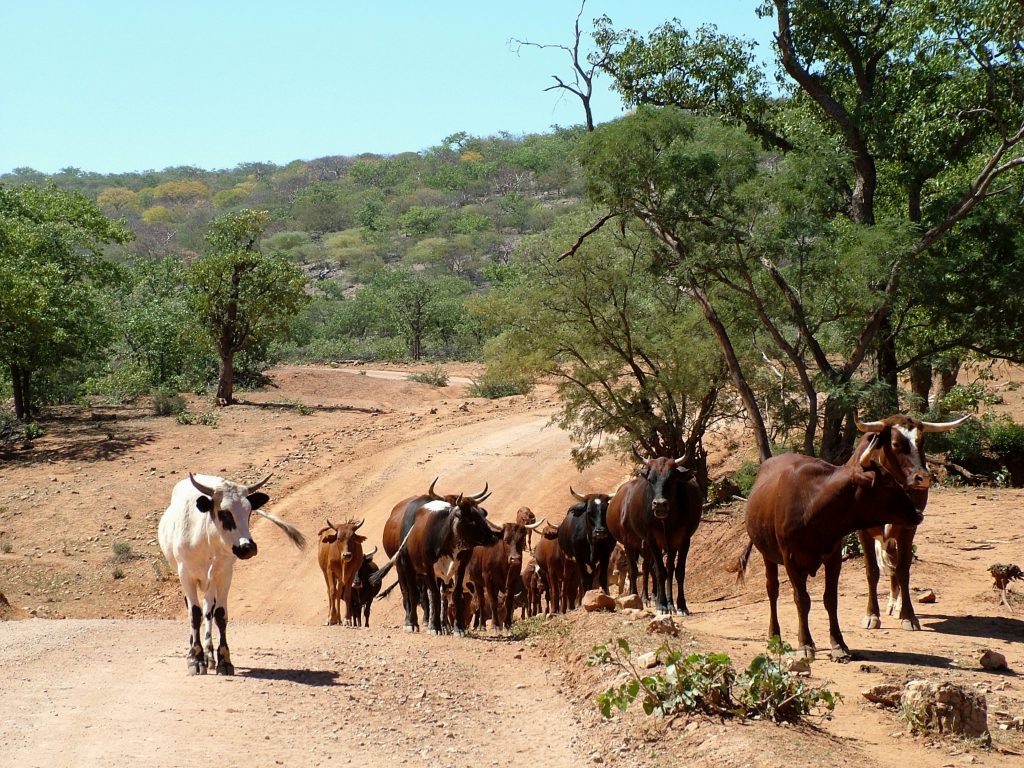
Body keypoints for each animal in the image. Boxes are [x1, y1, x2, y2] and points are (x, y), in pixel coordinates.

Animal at [158, 473, 306, 675]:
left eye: (249, 511)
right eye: (224, 512)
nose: (247, 547)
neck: (207, 539)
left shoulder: (224, 574)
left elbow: (220, 614)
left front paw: (223, 661)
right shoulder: (185, 574)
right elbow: (194, 614)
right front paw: (195, 660)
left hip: (211, 581)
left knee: (208, 609)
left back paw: (209, 655)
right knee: (194, 609)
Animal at [380, 477, 499, 635]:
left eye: (482, 514)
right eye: (471, 518)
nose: (493, 536)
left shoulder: (459, 567)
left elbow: (453, 594)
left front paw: (455, 627)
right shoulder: (427, 567)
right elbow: (432, 595)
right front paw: (434, 626)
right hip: (403, 566)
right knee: (409, 592)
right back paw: (412, 622)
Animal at [607, 451, 703, 615]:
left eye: (672, 478)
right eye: (651, 480)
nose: (659, 504)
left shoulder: (683, 540)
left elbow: (678, 571)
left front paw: (680, 606)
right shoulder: (651, 540)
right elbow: (658, 572)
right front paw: (661, 605)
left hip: (666, 545)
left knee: (667, 569)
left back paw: (669, 603)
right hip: (635, 545)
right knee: (637, 569)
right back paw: (637, 597)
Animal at [733, 434, 926, 661]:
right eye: (887, 481)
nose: (917, 513)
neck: (814, 507)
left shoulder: (833, 557)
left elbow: (830, 599)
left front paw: (838, 644)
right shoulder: (791, 560)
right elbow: (802, 600)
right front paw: (805, 644)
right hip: (768, 555)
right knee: (772, 590)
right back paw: (775, 637)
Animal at [853, 414, 969, 631]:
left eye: (921, 442)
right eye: (895, 444)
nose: (923, 478)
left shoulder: (908, 528)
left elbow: (903, 570)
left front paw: (908, 615)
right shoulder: (863, 531)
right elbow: (872, 571)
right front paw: (871, 615)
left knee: (896, 564)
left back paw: (896, 605)